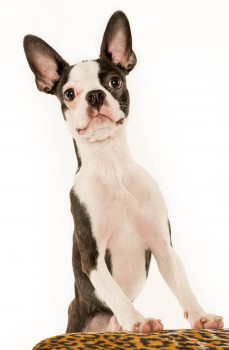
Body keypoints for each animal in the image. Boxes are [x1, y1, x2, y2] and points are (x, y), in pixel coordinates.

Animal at [23, 10, 224, 334]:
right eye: (69, 93)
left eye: (114, 81)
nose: (94, 95)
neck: (111, 166)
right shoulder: (91, 256)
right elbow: (115, 293)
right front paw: (138, 320)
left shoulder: (163, 245)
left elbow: (183, 285)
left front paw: (201, 316)